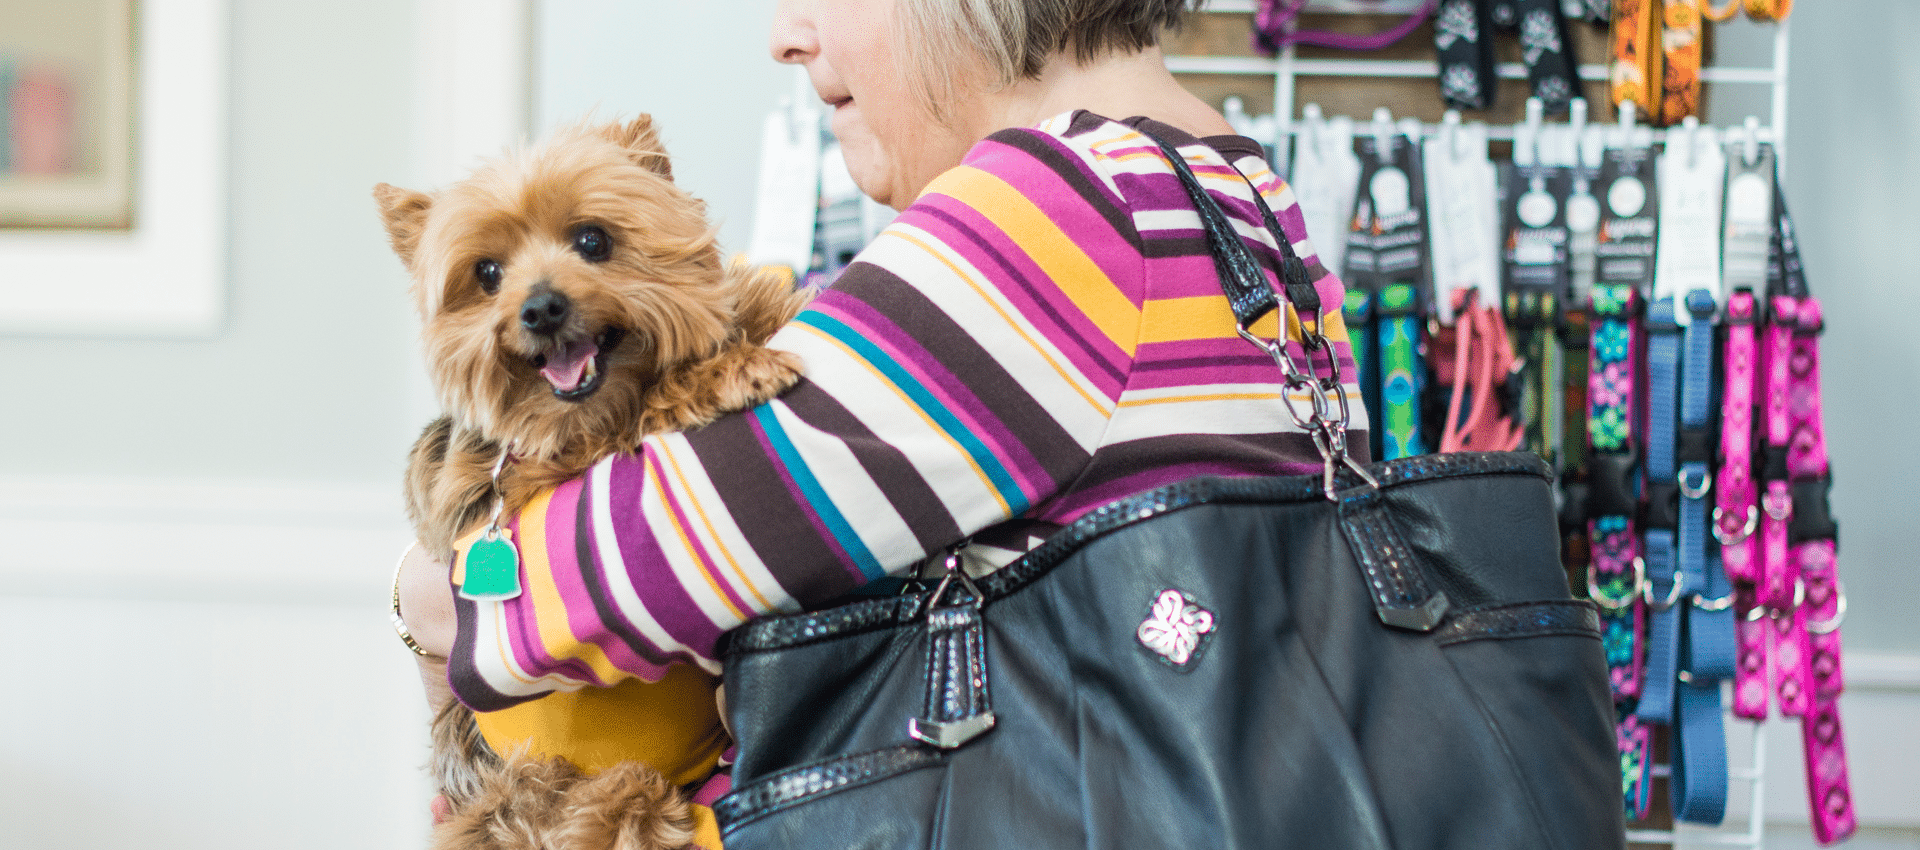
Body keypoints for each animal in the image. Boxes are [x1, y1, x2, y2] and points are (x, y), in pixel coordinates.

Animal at [374, 116, 810, 850]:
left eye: (593, 241)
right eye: (487, 274)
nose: (541, 308)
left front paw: (763, 299)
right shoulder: (536, 476)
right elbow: (638, 413)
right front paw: (726, 367)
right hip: (550, 787)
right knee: (613, 801)